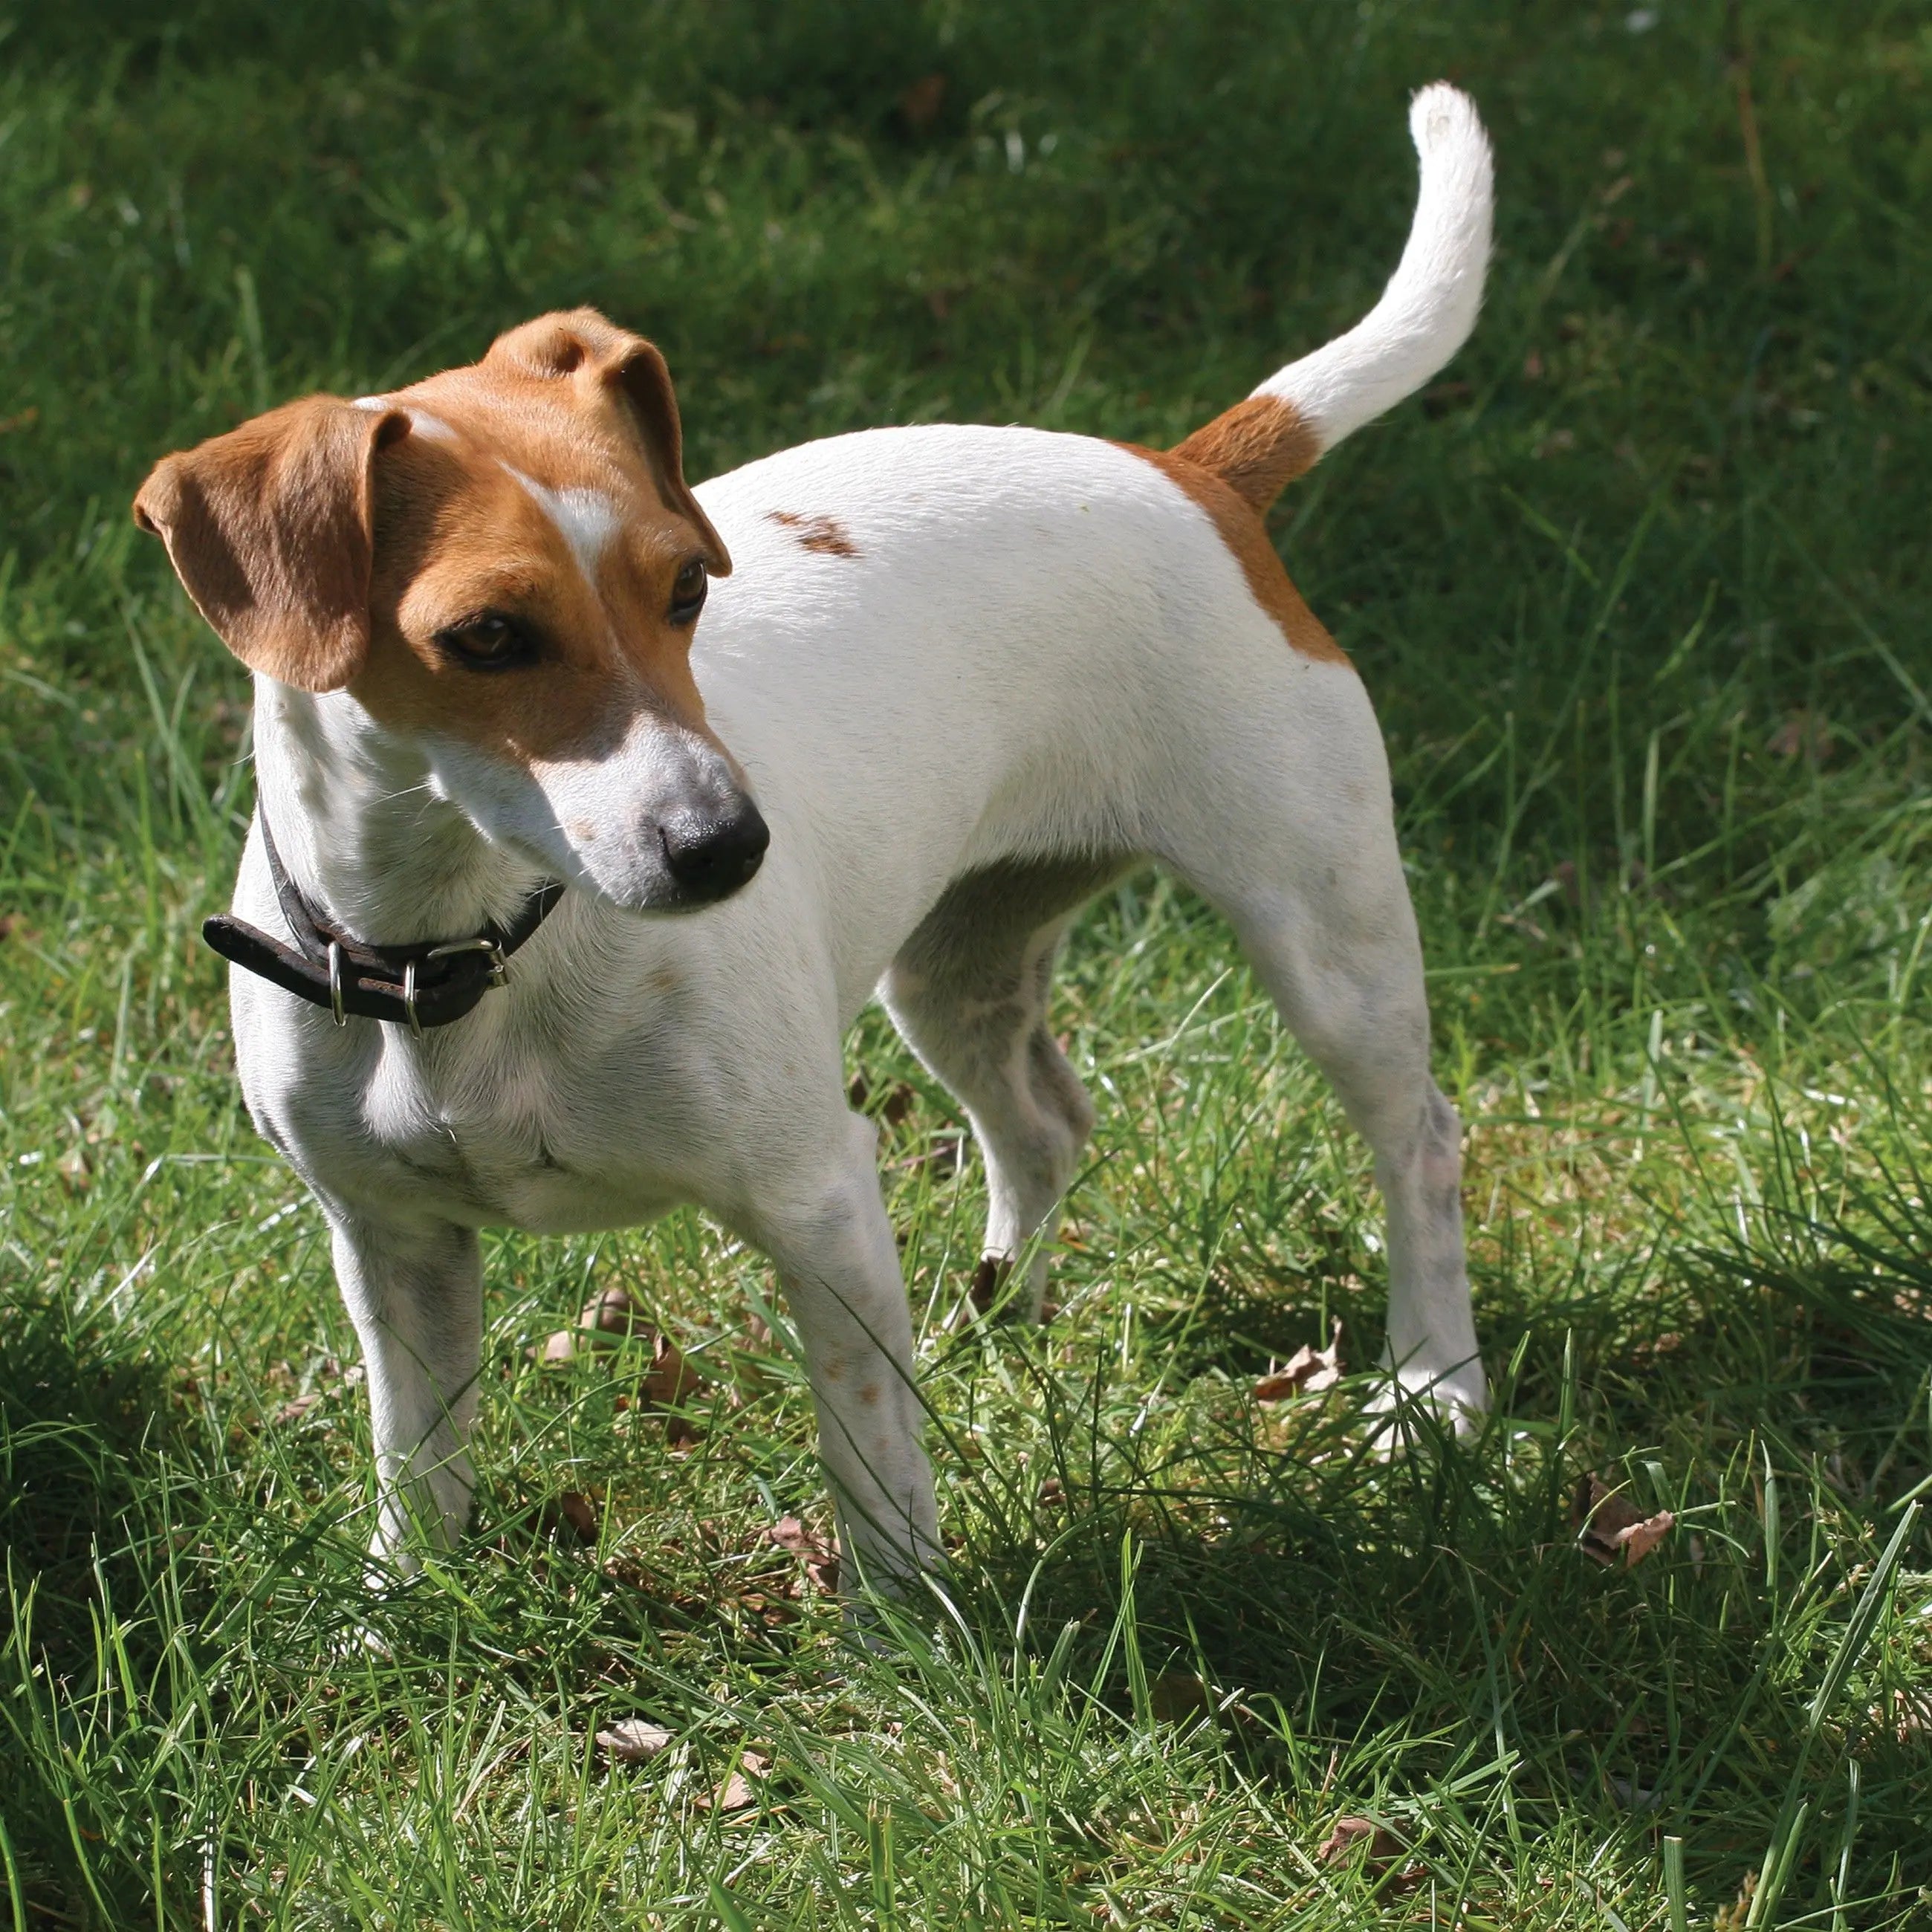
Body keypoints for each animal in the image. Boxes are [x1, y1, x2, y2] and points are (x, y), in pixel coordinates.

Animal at [132, 86, 1491, 1584]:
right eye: (486, 636)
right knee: (1045, 1124)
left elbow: (874, 1475)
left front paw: (905, 1626)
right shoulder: (393, 1245)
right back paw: (997, 1313)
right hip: (952, 972)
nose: (729, 849)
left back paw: (1434, 1390)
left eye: (685, 588)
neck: (473, 943)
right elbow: (414, 1473)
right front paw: (396, 1610)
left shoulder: (818, 1200)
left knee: (1421, 1142)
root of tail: (1192, 472)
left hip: (1327, 942)